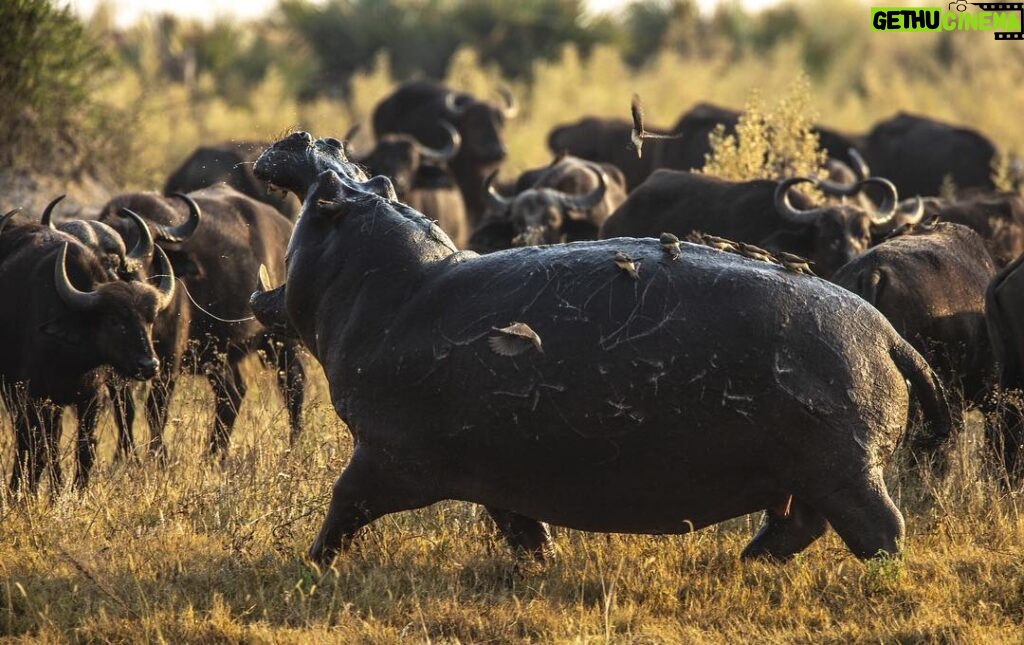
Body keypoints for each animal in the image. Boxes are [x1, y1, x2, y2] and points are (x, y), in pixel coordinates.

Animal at [249, 133, 950, 569]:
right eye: (380, 179)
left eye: (329, 197)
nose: (319, 140)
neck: (393, 281)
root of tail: (885, 333)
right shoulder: (496, 468)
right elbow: (522, 528)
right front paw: (545, 564)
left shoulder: (386, 455)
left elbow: (342, 506)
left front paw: (308, 568)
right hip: (810, 473)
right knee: (798, 525)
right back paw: (745, 561)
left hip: (844, 472)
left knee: (881, 532)